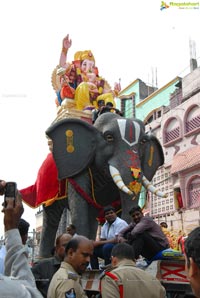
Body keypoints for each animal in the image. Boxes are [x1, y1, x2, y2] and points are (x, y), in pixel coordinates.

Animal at [39, 113, 166, 258]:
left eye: (143, 141)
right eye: (109, 137)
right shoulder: (80, 167)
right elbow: (79, 207)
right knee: (51, 216)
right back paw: (43, 259)